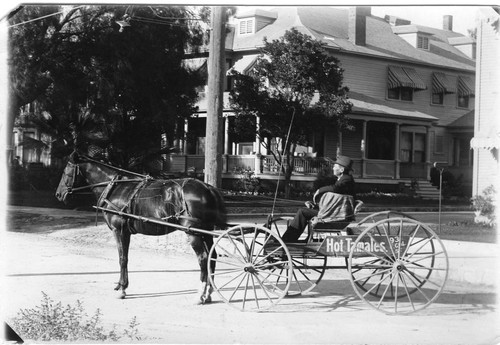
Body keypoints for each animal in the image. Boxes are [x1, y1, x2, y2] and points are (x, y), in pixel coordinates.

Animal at [55, 149, 227, 302]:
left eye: (66, 170)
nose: (58, 194)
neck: (115, 187)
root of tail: (208, 188)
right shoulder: (126, 232)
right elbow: (124, 257)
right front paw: (121, 286)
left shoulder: (120, 231)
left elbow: (122, 258)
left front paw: (122, 289)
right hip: (205, 231)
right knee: (212, 257)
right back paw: (209, 292)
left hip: (193, 232)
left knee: (203, 258)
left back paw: (200, 294)